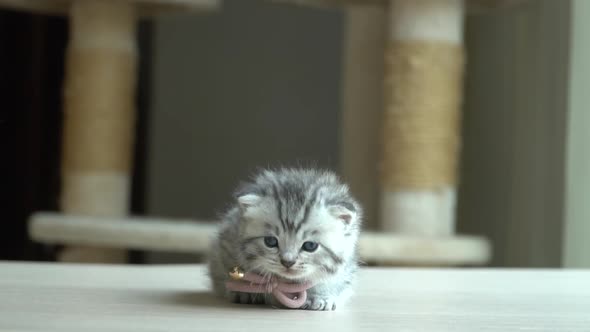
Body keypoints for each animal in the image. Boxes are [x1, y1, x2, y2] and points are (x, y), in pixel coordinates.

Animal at [208, 169, 366, 312]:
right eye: (270, 242)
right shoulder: (226, 246)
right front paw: (245, 291)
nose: (287, 262)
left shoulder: (346, 270)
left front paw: (320, 296)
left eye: (310, 246)